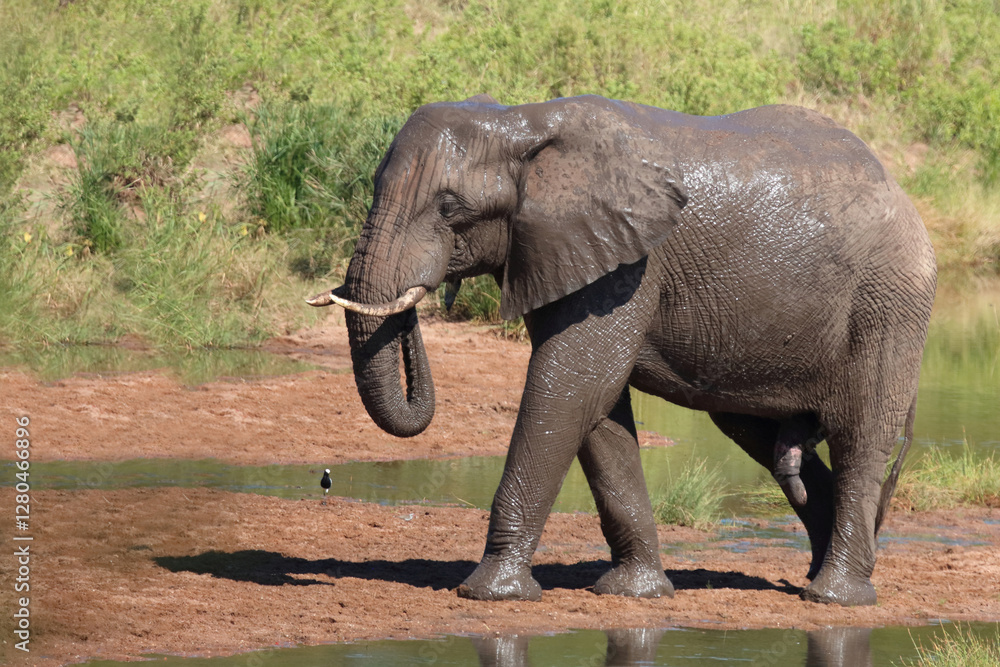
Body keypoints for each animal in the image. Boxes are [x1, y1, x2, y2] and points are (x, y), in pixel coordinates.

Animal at [307, 94, 937, 607]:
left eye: (448, 207)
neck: (522, 122)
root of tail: (903, 194)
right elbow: (598, 407)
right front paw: (636, 593)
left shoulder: (631, 264)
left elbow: (572, 383)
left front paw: (489, 593)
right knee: (760, 435)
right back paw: (819, 577)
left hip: (889, 304)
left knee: (862, 436)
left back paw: (836, 597)